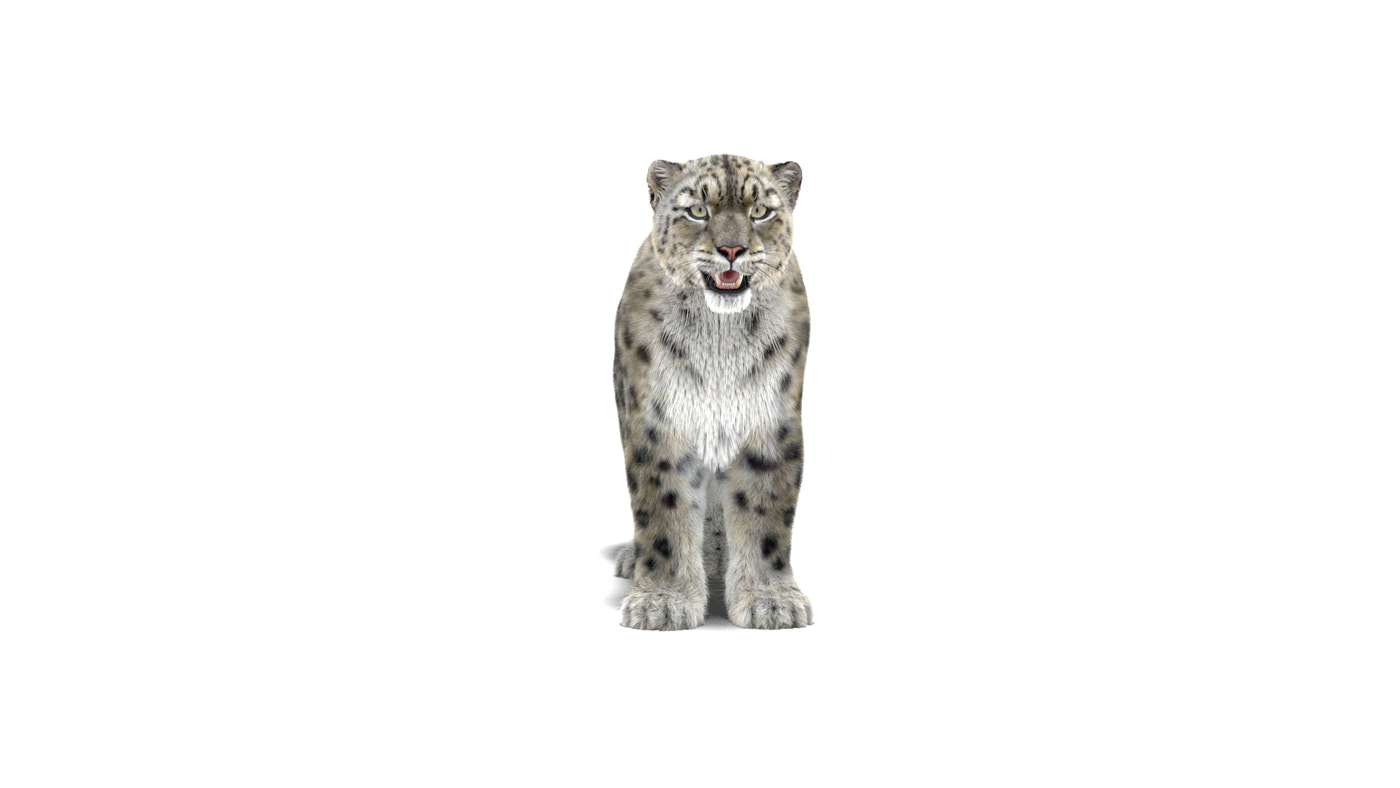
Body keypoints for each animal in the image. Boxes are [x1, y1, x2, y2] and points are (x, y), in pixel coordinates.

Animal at [611, 154, 812, 630]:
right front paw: (662, 601)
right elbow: (663, 508)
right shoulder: (658, 421)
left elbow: (766, 509)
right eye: (698, 210)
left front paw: (771, 600)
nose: (732, 250)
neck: (720, 335)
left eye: (760, 211)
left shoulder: (770, 420)